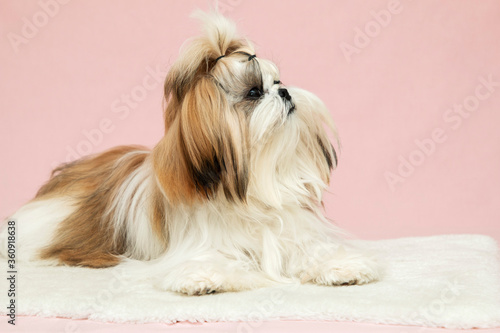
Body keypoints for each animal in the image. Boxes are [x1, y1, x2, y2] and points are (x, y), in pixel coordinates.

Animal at [0, 11, 378, 294]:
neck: (250, 189)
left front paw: (341, 265)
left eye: (278, 81)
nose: (285, 92)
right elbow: (213, 259)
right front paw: (205, 277)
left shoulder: (291, 234)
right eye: (254, 92)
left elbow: (311, 250)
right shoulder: (191, 247)